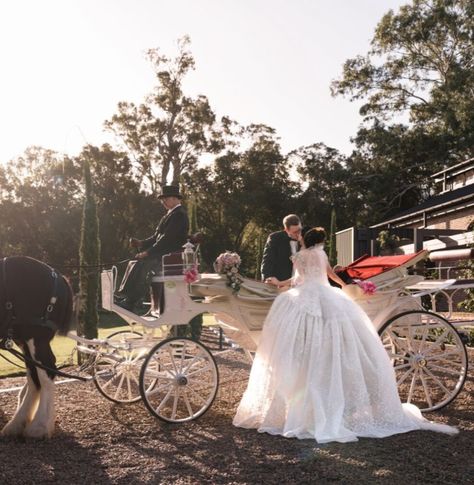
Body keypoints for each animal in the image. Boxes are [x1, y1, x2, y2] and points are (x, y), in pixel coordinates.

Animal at [0, 255, 73, 436]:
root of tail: (58, 275)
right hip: (23, 339)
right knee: (34, 376)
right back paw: (17, 423)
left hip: (36, 337)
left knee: (46, 371)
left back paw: (40, 425)